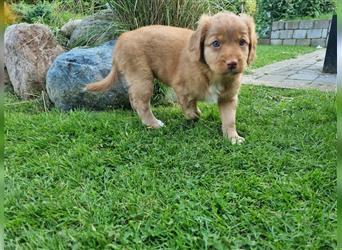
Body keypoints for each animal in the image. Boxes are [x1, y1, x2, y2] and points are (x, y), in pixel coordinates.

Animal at [85, 12, 256, 145]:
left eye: (242, 42)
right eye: (216, 43)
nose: (233, 63)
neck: (212, 73)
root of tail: (121, 38)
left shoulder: (229, 98)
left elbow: (229, 119)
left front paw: (233, 137)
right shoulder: (182, 89)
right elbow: (189, 108)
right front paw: (194, 116)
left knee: (133, 98)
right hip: (142, 78)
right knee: (141, 103)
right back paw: (153, 123)